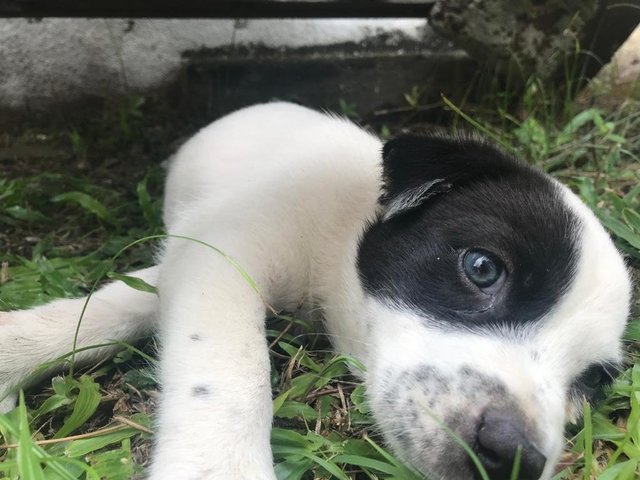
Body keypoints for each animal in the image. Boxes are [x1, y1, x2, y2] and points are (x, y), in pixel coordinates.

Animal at [0, 104, 632, 480]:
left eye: (590, 384)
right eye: (482, 268)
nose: (515, 457)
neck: (339, 233)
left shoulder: (197, 253)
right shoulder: (221, 248)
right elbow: (228, 367)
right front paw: (217, 466)